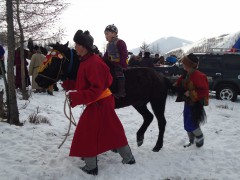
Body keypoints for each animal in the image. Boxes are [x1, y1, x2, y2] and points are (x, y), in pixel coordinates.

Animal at [35, 42, 173, 152]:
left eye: (54, 61)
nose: (38, 80)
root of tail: (162, 77)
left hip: (157, 102)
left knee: (161, 121)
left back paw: (158, 145)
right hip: (139, 103)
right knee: (148, 117)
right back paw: (140, 137)